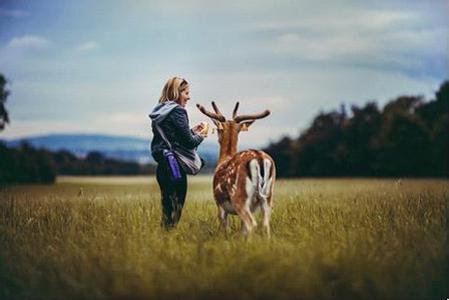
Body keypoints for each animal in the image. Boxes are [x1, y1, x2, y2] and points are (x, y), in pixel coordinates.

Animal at [197, 101, 274, 237]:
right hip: (268, 196)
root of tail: (259, 158)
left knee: (251, 224)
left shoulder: (219, 204)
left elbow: (225, 227)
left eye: (218, 129)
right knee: (265, 224)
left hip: (239, 196)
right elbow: (242, 229)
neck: (224, 159)